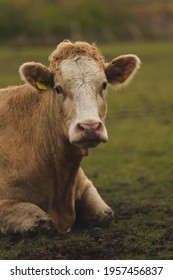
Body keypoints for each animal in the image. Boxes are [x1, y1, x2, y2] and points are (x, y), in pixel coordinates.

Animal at [0, 40, 141, 234]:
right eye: (58, 88)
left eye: (104, 85)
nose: (89, 127)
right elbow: (42, 222)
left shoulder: (86, 186)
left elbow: (105, 213)